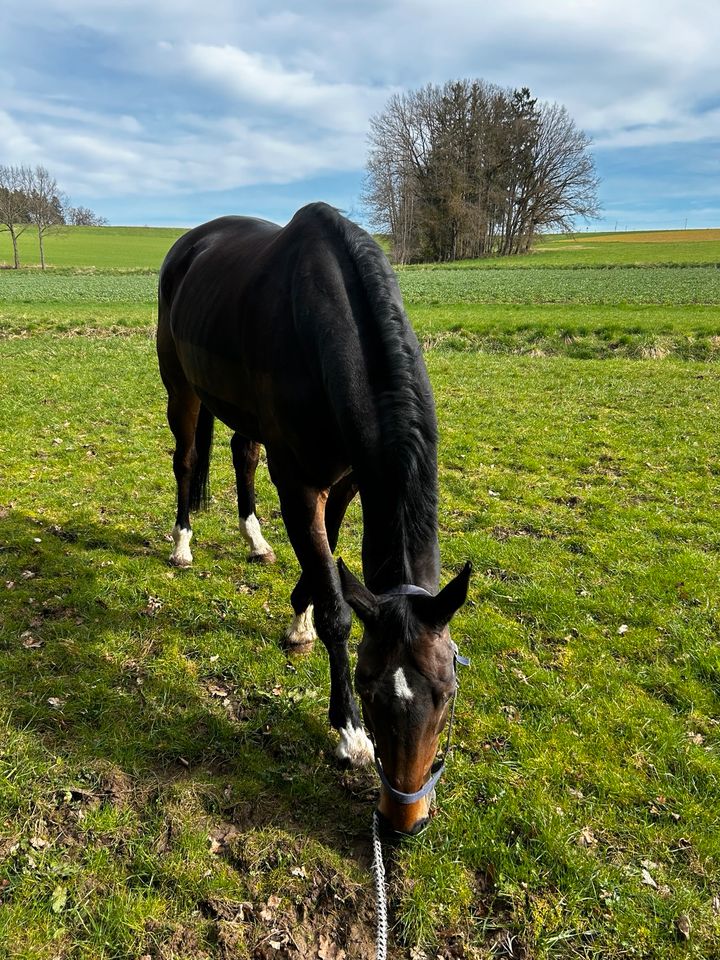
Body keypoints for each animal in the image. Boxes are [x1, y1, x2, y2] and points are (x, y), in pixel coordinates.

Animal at [157, 201, 470, 832]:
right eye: (370, 692)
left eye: (447, 694)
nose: (404, 821)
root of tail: (188, 245)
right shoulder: (300, 481)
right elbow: (337, 608)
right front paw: (348, 734)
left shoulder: (346, 477)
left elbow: (327, 565)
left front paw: (298, 617)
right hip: (181, 386)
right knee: (186, 459)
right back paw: (182, 544)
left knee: (243, 453)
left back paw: (255, 541)